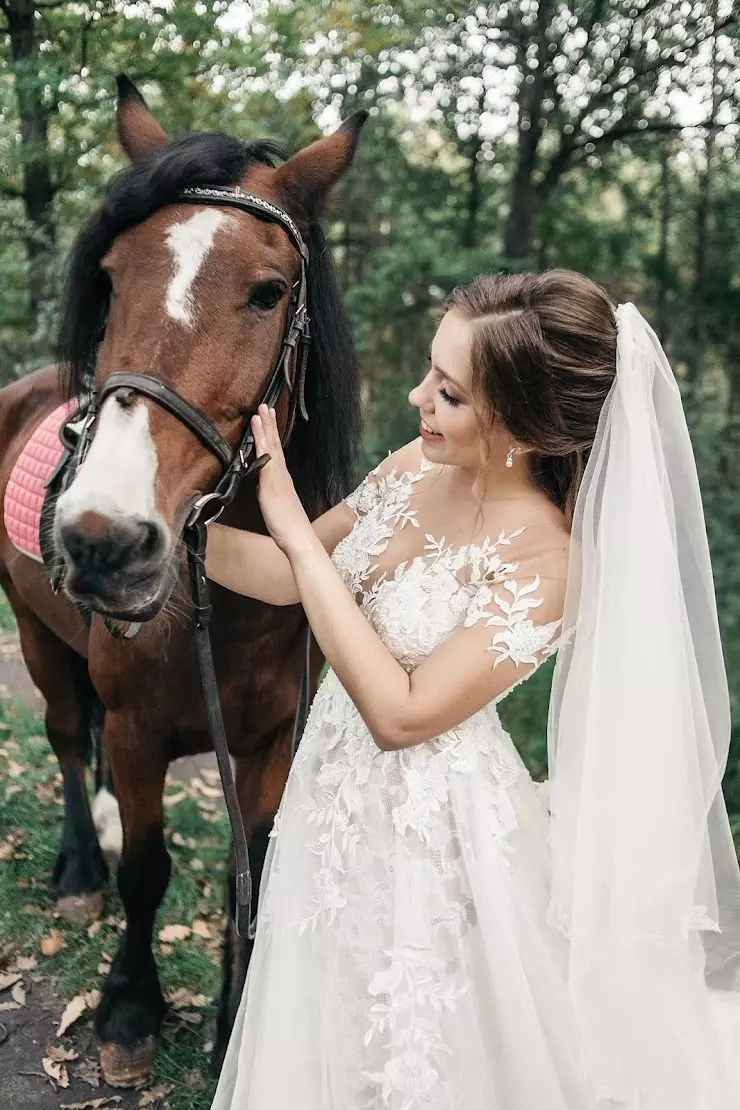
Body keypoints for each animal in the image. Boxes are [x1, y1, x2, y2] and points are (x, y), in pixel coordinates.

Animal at [0, 78, 363, 1083]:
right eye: (111, 277)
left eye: (269, 292)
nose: (103, 542)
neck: (230, 609)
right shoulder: (136, 729)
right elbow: (147, 870)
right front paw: (129, 1006)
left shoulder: (272, 739)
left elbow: (260, 868)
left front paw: (236, 1021)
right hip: (37, 638)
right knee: (66, 738)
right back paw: (80, 867)